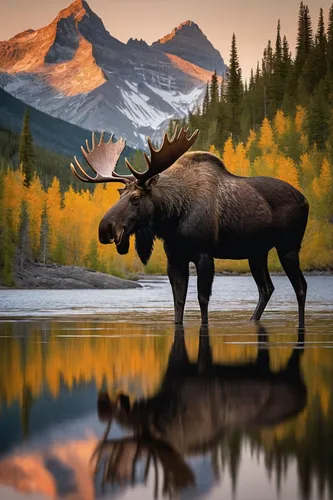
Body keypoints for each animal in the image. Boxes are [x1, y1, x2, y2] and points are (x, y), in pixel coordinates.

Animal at [70, 127, 308, 326]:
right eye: (120, 193)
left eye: (136, 198)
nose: (105, 228)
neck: (173, 217)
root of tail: (306, 201)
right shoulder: (175, 258)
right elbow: (178, 301)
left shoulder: (204, 255)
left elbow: (203, 299)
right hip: (257, 253)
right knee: (267, 288)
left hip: (288, 247)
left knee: (300, 287)